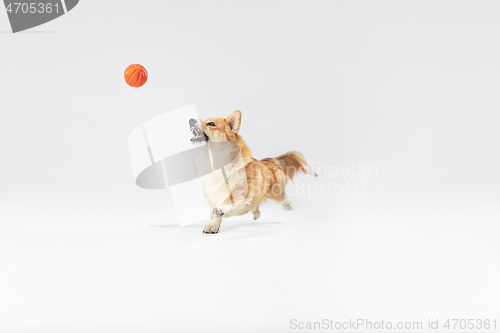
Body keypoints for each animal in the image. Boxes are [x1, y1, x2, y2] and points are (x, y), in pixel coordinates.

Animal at [188, 110, 316, 232]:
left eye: (211, 124)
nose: (190, 119)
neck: (215, 161)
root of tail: (268, 162)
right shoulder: (211, 195)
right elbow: (215, 215)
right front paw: (213, 225)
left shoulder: (243, 188)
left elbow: (229, 199)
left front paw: (220, 209)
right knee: (256, 205)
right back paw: (255, 213)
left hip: (276, 193)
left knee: (284, 200)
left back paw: (290, 207)